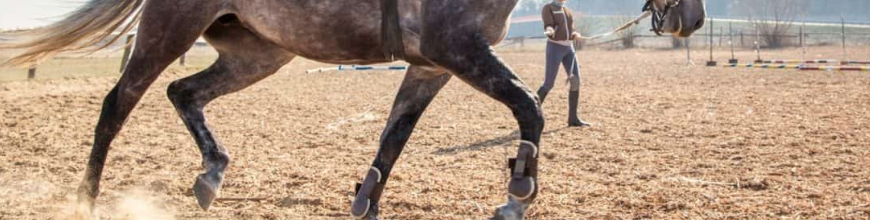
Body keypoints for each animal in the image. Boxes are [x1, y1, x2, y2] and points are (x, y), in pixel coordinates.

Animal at [0, 0, 708, 218]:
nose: (693, 19)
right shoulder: (458, 53)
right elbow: (529, 113)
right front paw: (517, 191)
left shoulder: (430, 67)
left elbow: (393, 140)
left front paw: (364, 199)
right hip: (171, 27)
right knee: (118, 104)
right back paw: (87, 197)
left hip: (258, 51)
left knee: (185, 93)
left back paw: (211, 174)